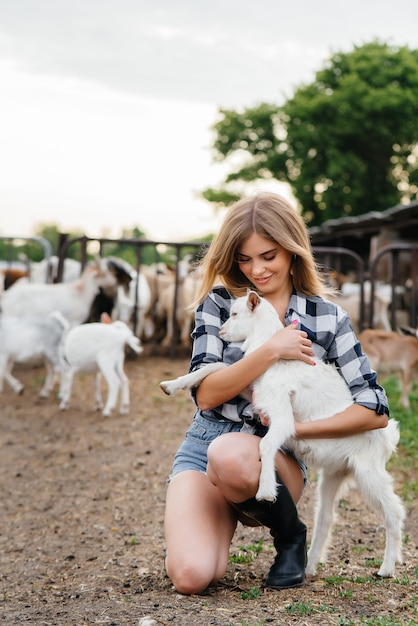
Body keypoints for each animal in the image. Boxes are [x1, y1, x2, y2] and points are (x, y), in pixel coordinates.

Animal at [160, 290, 404, 572]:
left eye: (235, 314)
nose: (221, 331)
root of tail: (387, 435)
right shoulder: (252, 388)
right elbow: (216, 368)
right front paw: (171, 385)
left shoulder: (282, 418)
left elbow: (265, 445)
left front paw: (266, 491)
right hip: (334, 474)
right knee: (326, 516)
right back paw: (310, 567)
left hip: (368, 470)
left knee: (394, 511)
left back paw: (387, 566)